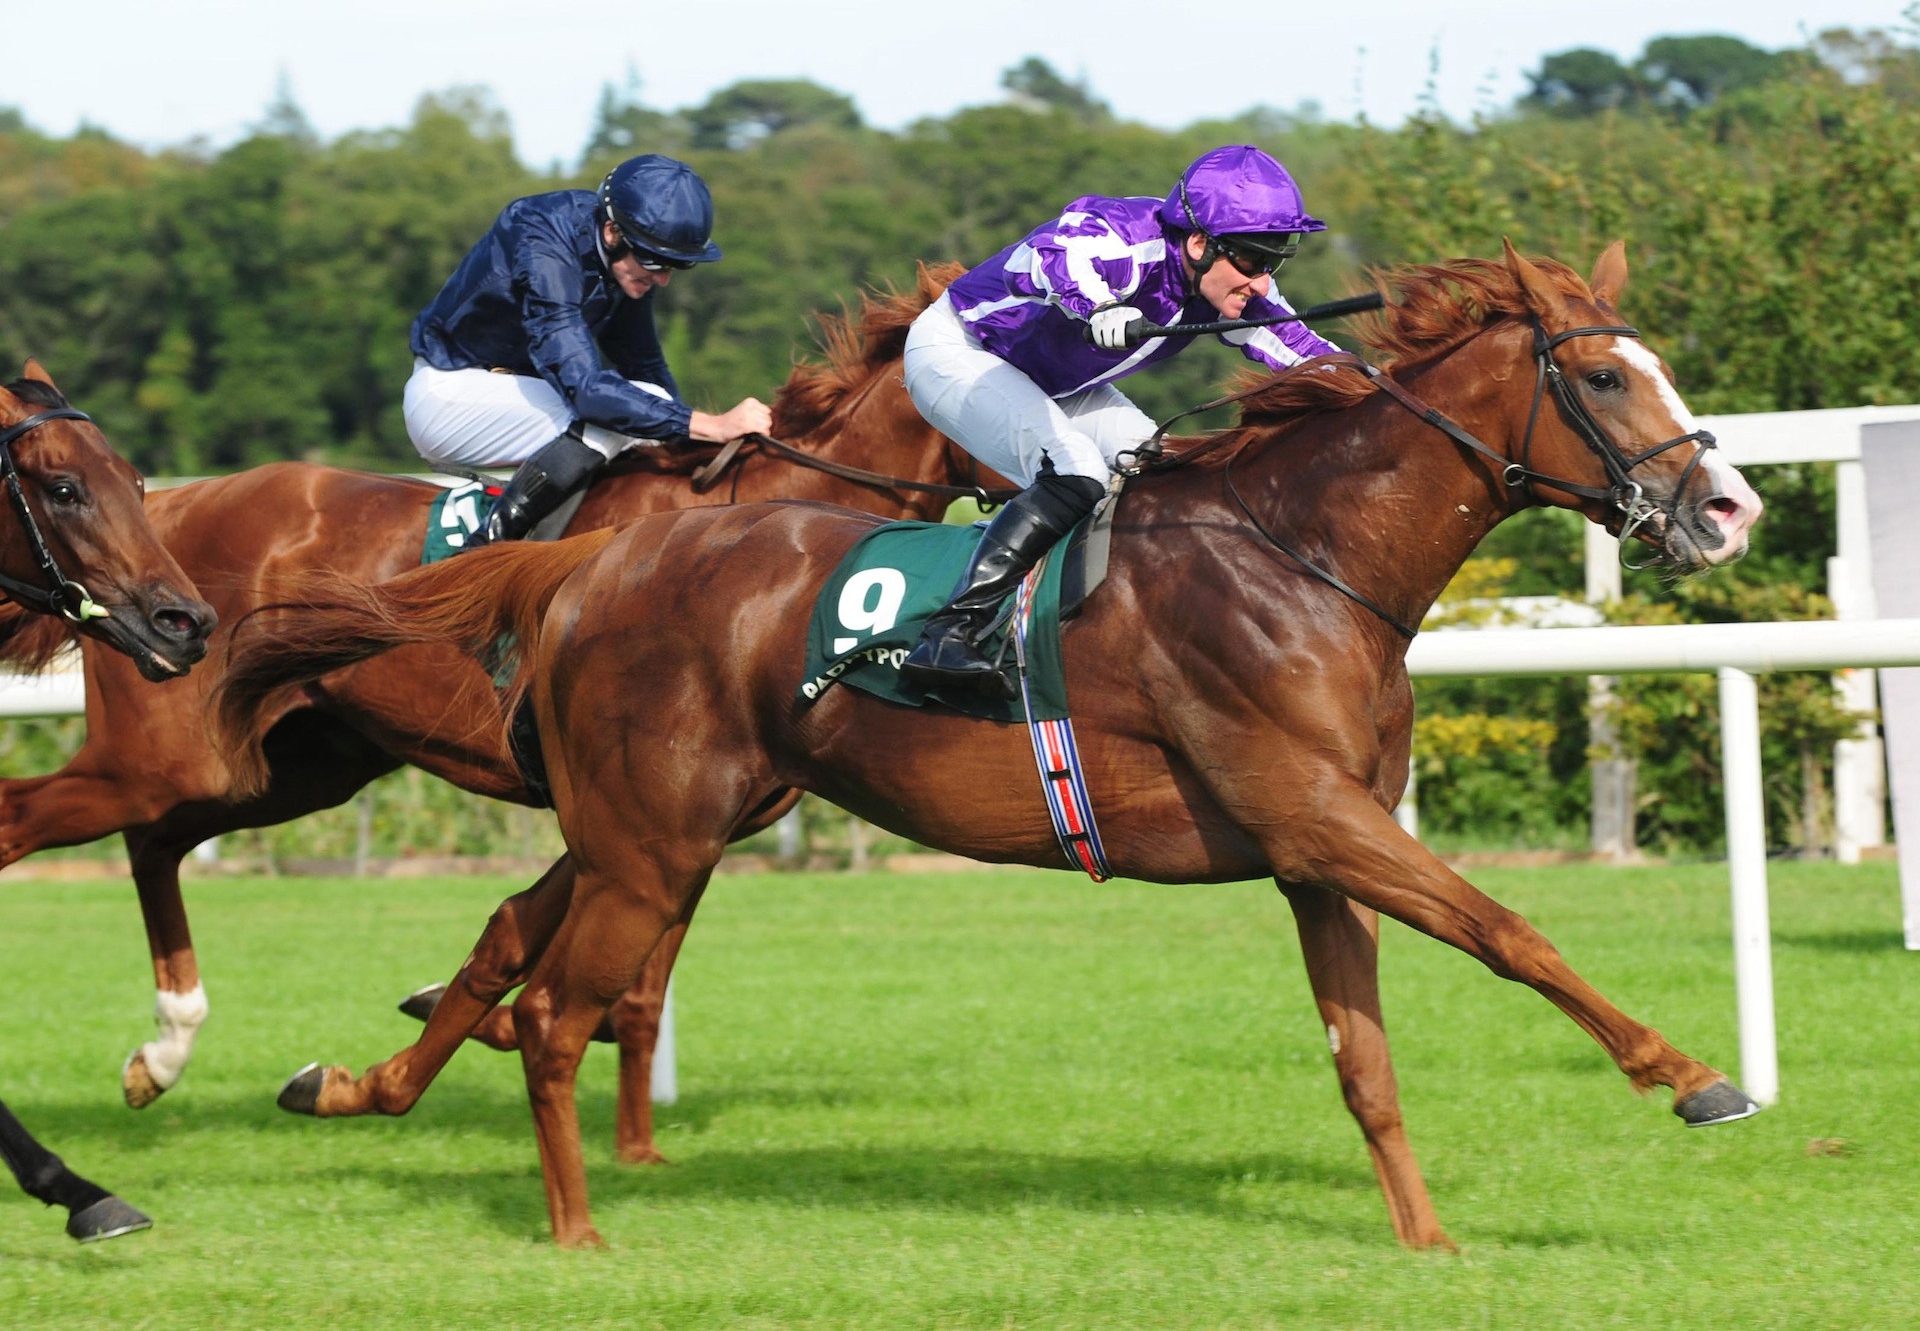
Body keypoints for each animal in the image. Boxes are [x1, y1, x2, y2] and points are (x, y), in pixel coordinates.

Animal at [217, 241, 1758, 1244]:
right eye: (1605, 379)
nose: (1728, 507)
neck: (1302, 553)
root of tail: (589, 562)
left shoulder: (1317, 850)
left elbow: (1364, 1059)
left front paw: (1426, 1239)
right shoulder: (1316, 813)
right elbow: (1513, 931)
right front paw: (1695, 1077)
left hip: (654, 826)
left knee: (511, 948)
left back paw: (354, 1085)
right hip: (653, 836)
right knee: (553, 1006)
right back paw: (579, 1235)